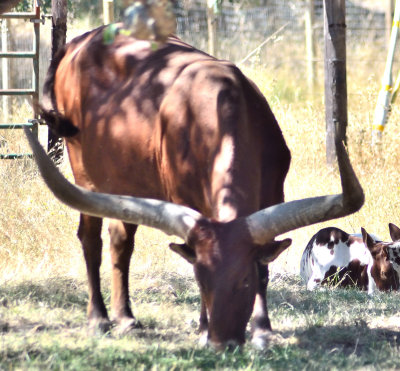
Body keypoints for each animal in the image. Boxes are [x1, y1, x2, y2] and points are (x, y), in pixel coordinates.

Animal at [23, 25, 364, 348]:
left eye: (243, 280)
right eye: (201, 281)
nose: (222, 342)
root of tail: (77, 42)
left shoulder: (271, 196)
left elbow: (265, 269)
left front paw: (262, 330)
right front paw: (202, 327)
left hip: (125, 184)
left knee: (121, 239)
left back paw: (126, 317)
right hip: (85, 176)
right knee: (90, 239)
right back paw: (99, 318)